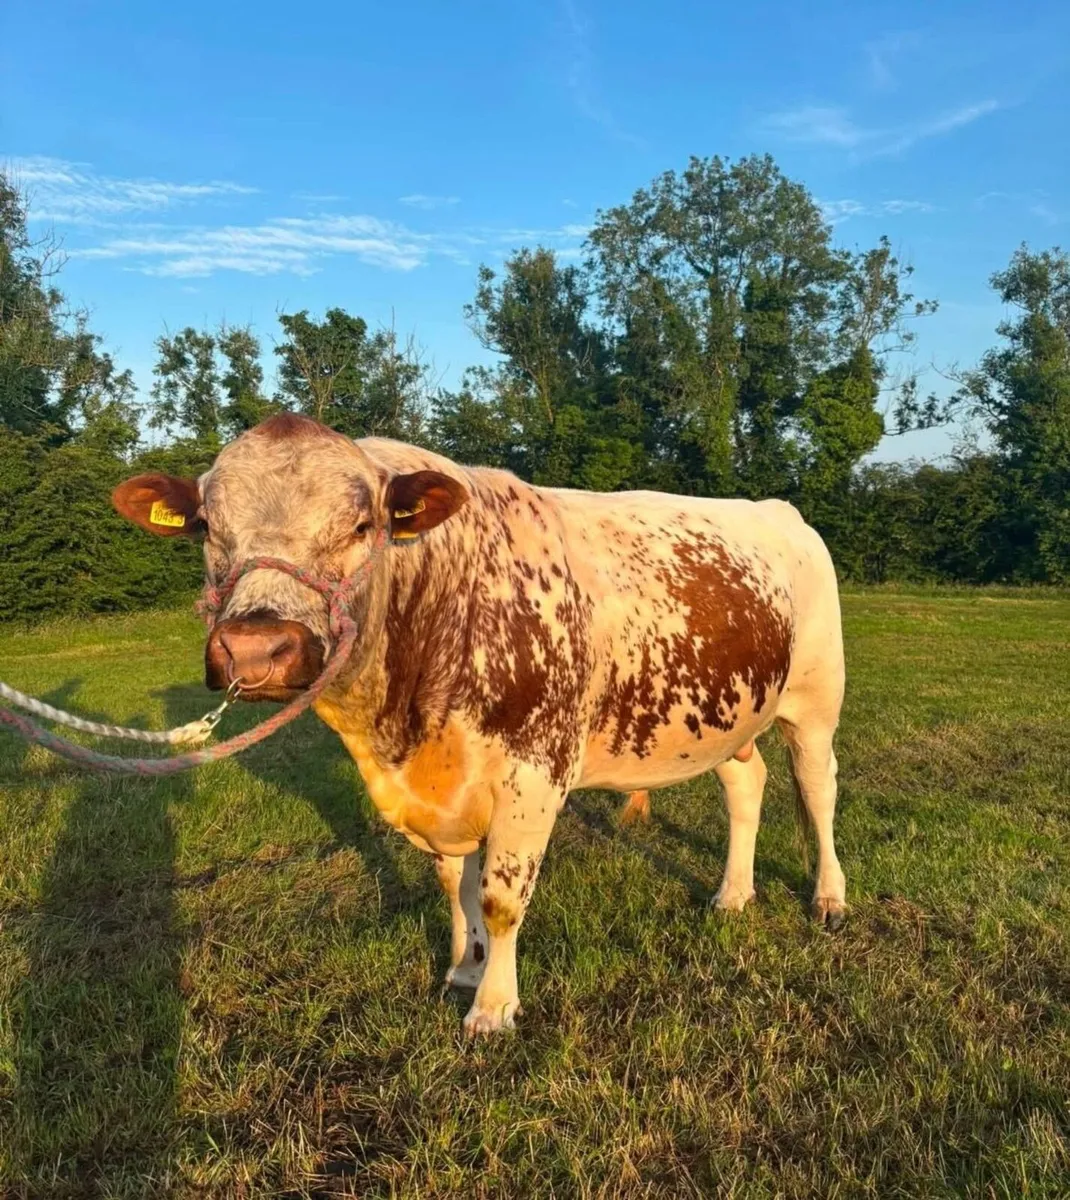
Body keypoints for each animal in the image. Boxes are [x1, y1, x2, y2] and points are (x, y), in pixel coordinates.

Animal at [111, 412, 846, 1036]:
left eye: (361, 525)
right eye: (208, 527)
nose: (255, 649)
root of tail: (776, 510)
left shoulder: (535, 774)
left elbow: (499, 896)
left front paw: (493, 1006)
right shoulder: (442, 787)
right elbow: (453, 885)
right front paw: (465, 966)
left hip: (815, 699)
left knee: (817, 789)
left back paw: (828, 897)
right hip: (730, 712)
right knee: (745, 783)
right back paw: (733, 893)